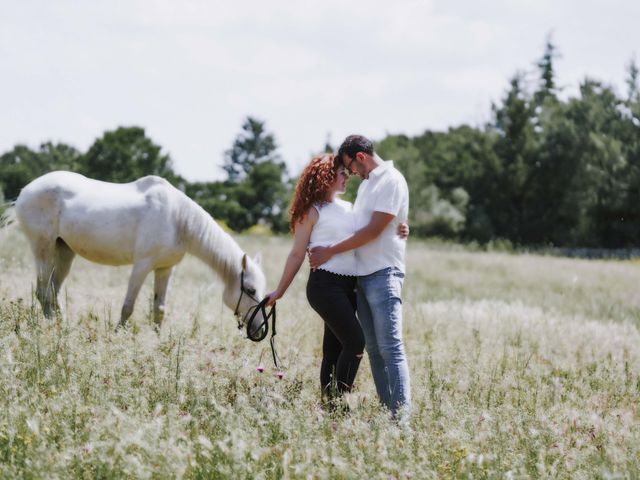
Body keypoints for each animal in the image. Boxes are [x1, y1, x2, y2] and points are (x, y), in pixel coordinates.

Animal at [15, 171, 266, 332]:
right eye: (250, 290)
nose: (259, 327)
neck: (178, 219)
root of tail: (25, 191)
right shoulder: (142, 266)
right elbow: (128, 307)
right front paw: (118, 334)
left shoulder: (165, 269)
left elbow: (159, 309)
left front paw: (157, 340)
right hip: (43, 249)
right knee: (43, 292)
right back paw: (51, 327)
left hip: (64, 251)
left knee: (53, 291)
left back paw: (62, 327)